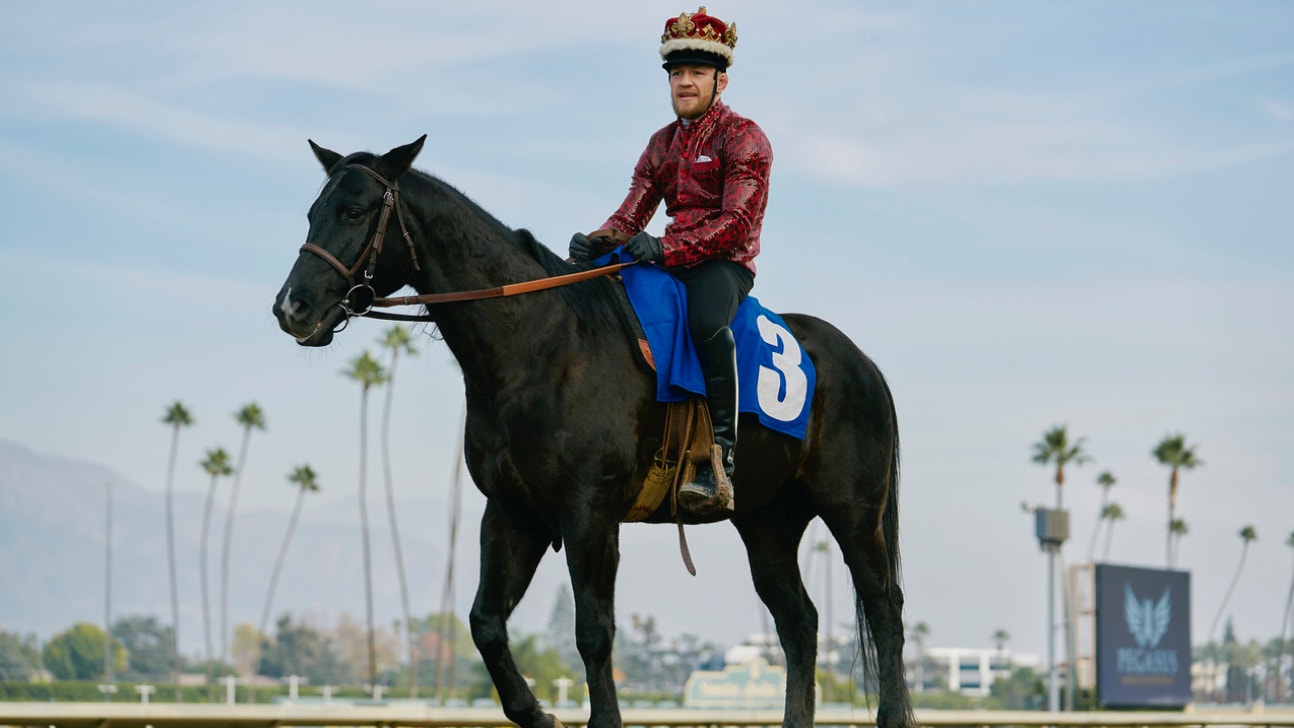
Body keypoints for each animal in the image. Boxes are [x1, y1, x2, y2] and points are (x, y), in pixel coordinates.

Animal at [273, 136, 915, 728]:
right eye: (311, 212)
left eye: (354, 211)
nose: (291, 308)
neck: (540, 344)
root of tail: (863, 363)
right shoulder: (514, 512)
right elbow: (485, 623)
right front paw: (538, 713)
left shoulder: (589, 513)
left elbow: (593, 631)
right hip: (766, 521)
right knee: (799, 623)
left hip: (853, 512)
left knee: (885, 609)